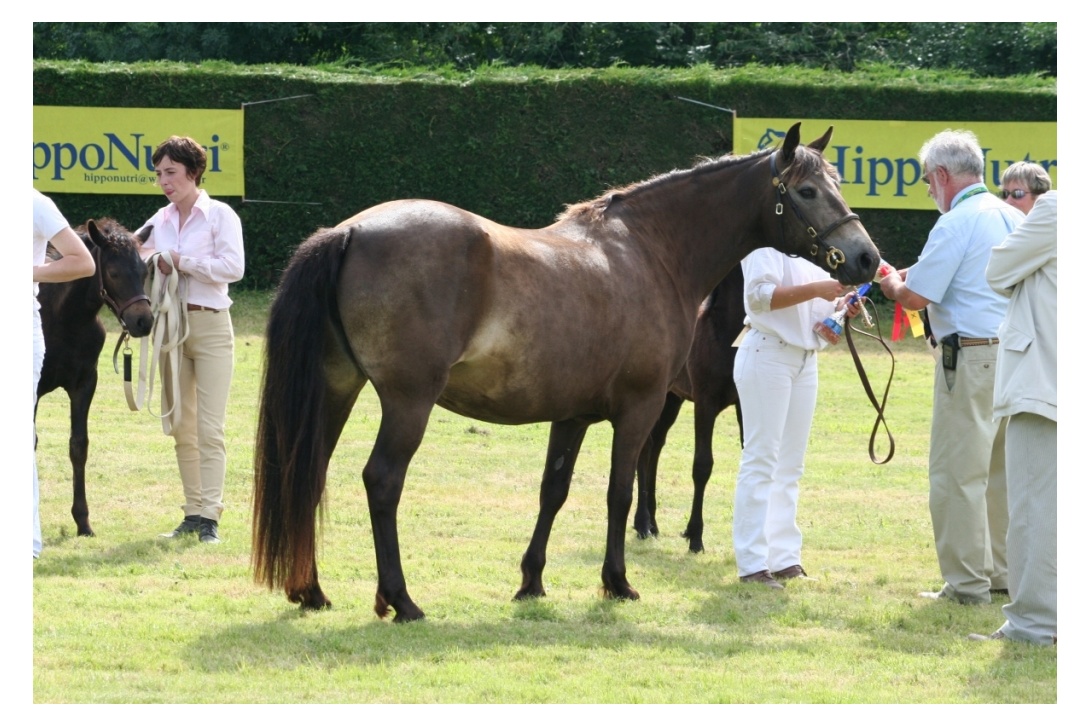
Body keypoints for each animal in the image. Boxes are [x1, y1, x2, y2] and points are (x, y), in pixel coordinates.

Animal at [632, 261, 749, 551]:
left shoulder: (745, 405)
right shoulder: (705, 403)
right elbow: (702, 465)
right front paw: (695, 535)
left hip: (673, 399)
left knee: (656, 447)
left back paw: (653, 522)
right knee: (645, 450)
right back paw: (642, 523)